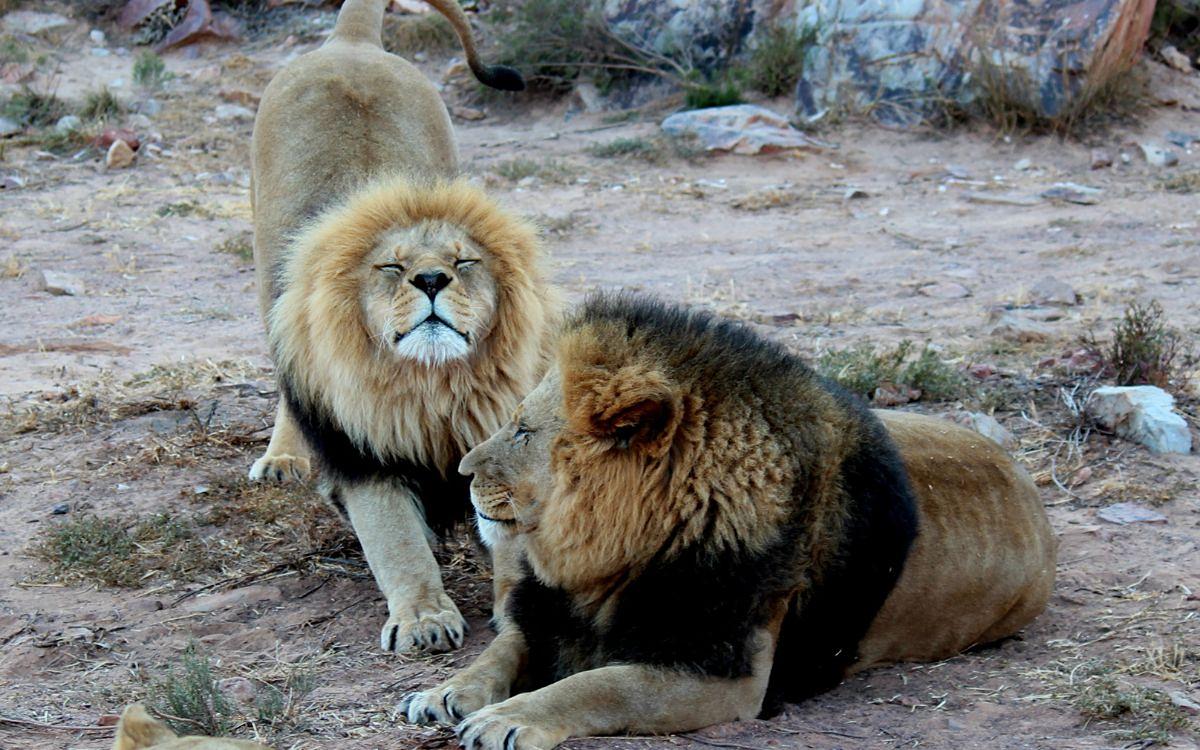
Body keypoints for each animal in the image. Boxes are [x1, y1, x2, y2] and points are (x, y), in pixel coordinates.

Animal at [250, 0, 559, 652]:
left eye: (465, 262)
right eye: (391, 267)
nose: (433, 279)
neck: (432, 386)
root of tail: (351, 43)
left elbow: (509, 529)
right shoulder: (362, 454)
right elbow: (393, 539)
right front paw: (423, 618)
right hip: (271, 274)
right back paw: (284, 458)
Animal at [400, 295, 1051, 744]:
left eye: (523, 430)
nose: (462, 470)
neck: (607, 564)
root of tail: (1029, 482)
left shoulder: (726, 675)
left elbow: (597, 686)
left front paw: (507, 718)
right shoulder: (547, 610)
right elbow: (501, 650)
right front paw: (445, 692)